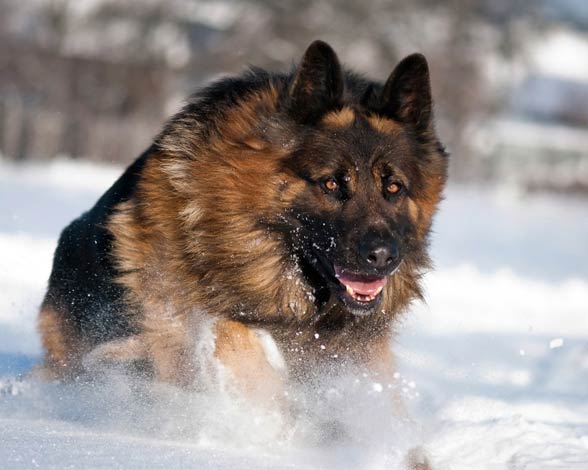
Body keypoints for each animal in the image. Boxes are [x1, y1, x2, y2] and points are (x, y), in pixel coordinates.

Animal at [38, 40, 446, 466]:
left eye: (394, 187)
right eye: (332, 184)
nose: (383, 256)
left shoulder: (359, 357)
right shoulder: (179, 318)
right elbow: (236, 341)